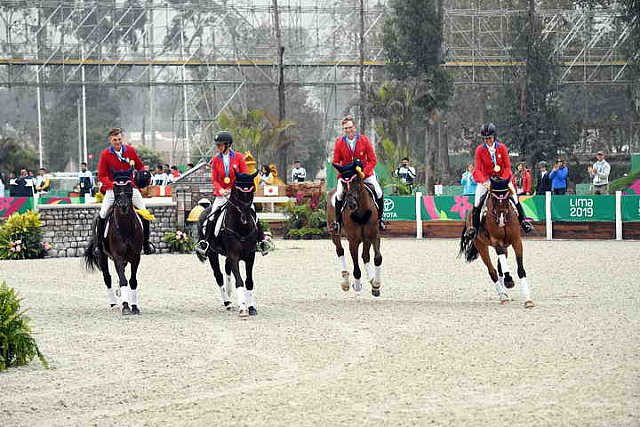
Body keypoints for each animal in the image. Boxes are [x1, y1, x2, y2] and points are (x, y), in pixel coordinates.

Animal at [84, 171, 144, 314]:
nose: (123, 206)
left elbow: (133, 281)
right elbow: (123, 280)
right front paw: (126, 306)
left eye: (129, 189)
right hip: (102, 256)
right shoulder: (118, 257)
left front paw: (134, 306)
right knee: (107, 278)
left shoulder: (136, 257)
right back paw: (114, 304)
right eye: (116, 190)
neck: (125, 228)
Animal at [198, 171, 262, 318]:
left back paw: (229, 292)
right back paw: (227, 302)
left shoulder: (250, 256)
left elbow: (249, 281)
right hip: (212, 253)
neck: (241, 227)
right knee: (219, 275)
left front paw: (251, 307)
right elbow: (239, 280)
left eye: (252, 191)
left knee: (227, 271)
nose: (245, 217)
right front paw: (243, 307)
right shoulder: (234, 255)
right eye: (237, 192)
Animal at [460, 177, 536, 308]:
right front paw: (509, 281)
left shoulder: (516, 241)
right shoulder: (497, 242)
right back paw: (503, 295)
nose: (500, 220)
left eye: (507, 196)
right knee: (493, 271)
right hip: (482, 246)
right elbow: (501, 266)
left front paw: (528, 299)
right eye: (494, 197)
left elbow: (520, 269)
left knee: (500, 268)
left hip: (505, 246)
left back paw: (505, 294)